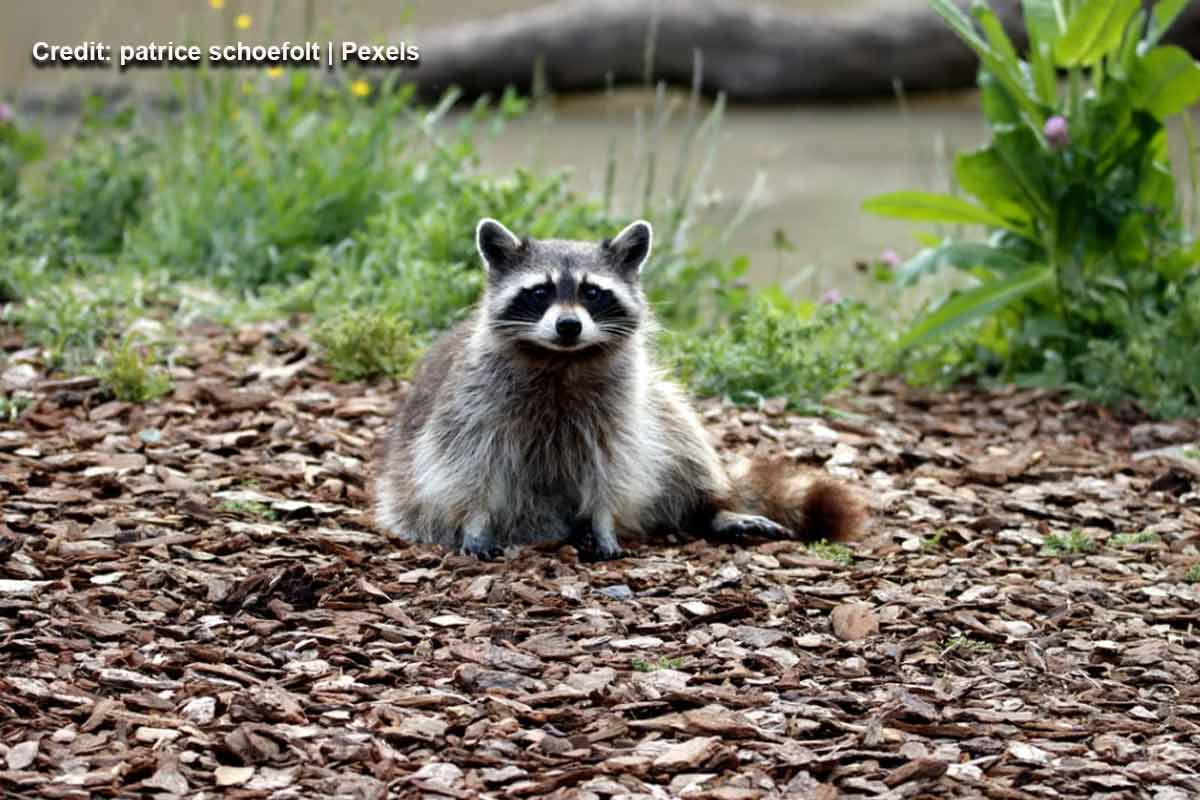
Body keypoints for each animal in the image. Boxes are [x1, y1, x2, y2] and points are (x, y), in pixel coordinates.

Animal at [372, 218, 864, 560]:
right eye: (539, 292)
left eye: (592, 293)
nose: (568, 326)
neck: (563, 359)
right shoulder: (472, 403)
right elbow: (466, 465)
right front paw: (475, 522)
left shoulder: (621, 406)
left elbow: (614, 464)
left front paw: (604, 521)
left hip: (652, 399)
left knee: (679, 430)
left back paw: (710, 508)